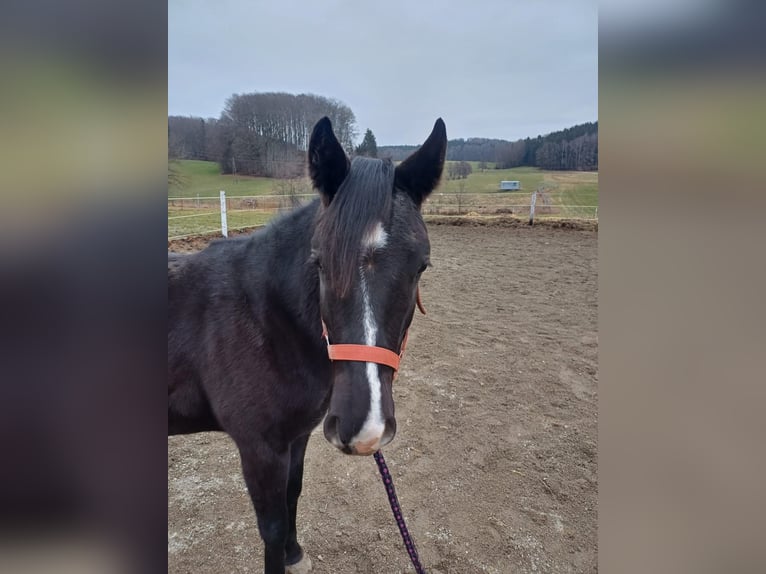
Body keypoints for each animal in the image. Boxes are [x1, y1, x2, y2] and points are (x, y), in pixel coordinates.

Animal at [168, 116, 444, 572]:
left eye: (420, 266)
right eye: (320, 263)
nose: (364, 429)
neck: (263, 318)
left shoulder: (297, 438)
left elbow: (293, 494)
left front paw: (295, 554)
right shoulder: (260, 450)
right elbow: (272, 526)